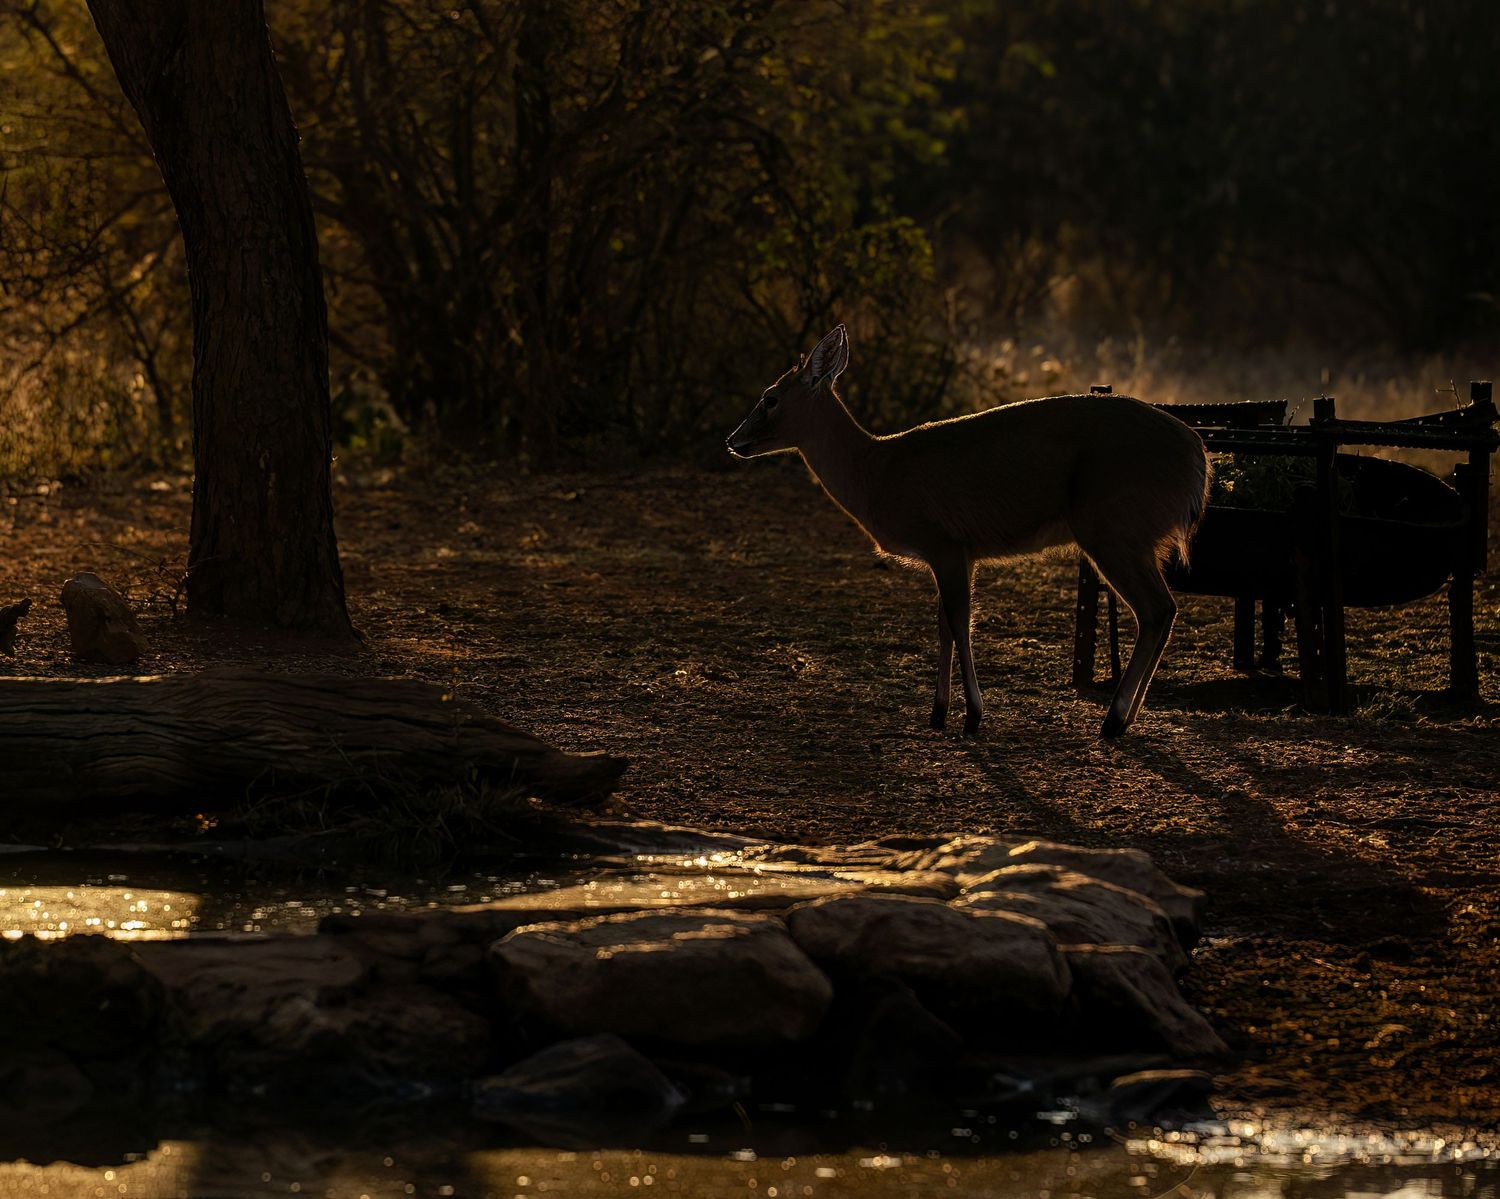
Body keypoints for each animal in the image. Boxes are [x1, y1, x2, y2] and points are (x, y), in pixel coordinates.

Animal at [726, 325, 1210, 739]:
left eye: (771, 397)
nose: (733, 440)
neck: (876, 474)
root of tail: (1198, 460)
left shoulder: (944, 541)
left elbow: (960, 622)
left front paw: (974, 715)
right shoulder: (960, 552)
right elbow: (943, 624)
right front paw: (938, 713)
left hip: (1114, 531)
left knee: (1155, 610)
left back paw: (1113, 719)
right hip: (1128, 537)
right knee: (1164, 611)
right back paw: (1127, 718)